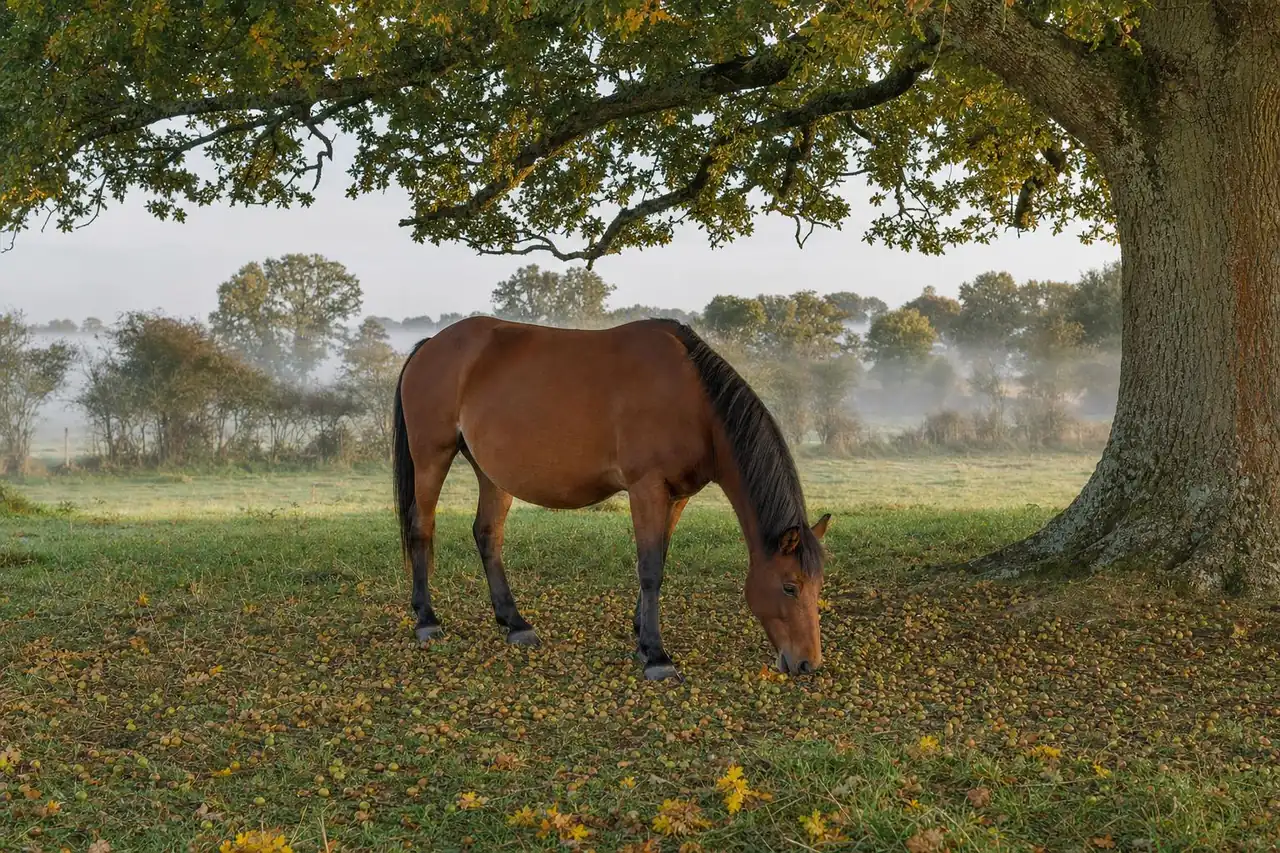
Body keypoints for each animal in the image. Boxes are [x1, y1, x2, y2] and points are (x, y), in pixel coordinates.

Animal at [391, 316, 831, 680]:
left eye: (818, 586)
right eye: (789, 587)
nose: (807, 664)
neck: (693, 397)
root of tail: (430, 345)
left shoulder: (677, 496)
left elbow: (659, 558)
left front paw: (640, 633)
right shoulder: (646, 487)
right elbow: (650, 567)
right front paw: (656, 656)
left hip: (491, 472)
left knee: (487, 535)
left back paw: (515, 623)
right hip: (432, 457)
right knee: (421, 528)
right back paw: (427, 620)